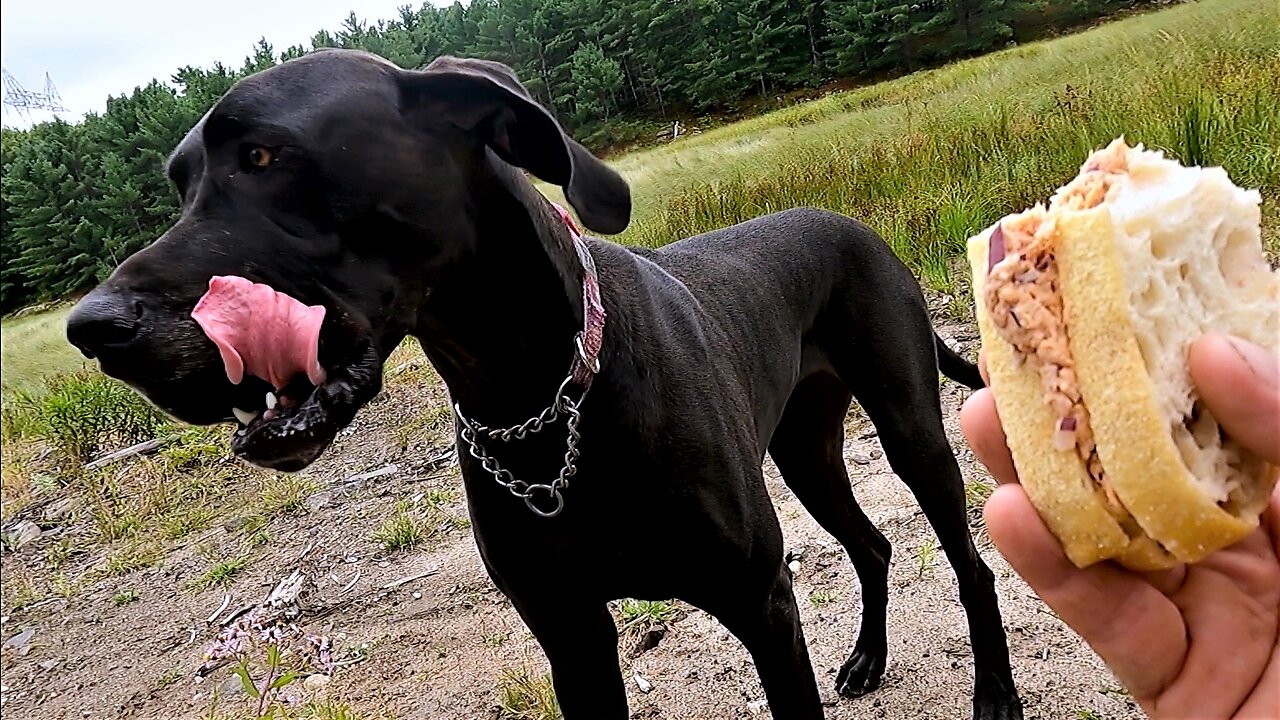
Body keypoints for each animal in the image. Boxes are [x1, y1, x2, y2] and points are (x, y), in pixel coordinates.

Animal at [67, 47, 1018, 712]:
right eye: (182, 183)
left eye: (264, 156)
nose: (94, 329)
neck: (535, 399)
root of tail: (851, 224)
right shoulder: (573, 641)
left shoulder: (760, 604)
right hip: (804, 451)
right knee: (873, 543)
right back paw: (868, 658)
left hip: (909, 430)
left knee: (969, 562)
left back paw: (995, 694)